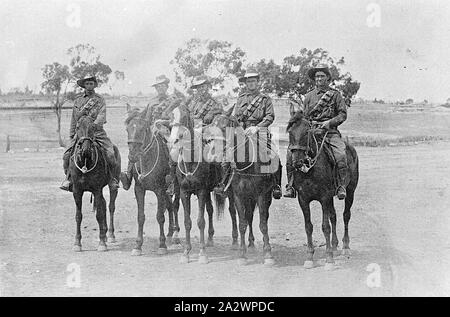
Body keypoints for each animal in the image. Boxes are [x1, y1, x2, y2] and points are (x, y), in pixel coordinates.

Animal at [69, 115, 120, 251]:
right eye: (77, 127)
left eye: (93, 127)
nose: (86, 149)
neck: (85, 163)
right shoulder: (77, 191)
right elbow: (78, 216)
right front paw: (77, 243)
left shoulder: (96, 190)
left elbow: (99, 215)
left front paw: (102, 243)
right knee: (103, 204)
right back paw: (105, 233)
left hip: (113, 186)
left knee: (110, 207)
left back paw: (110, 235)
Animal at [124, 105, 180, 256]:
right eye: (128, 129)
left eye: (143, 129)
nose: (132, 156)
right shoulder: (139, 189)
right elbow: (140, 216)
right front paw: (138, 245)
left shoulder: (160, 190)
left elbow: (160, 216)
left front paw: (162, 245)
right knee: (170, 206)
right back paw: (170, 233)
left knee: (175, 206)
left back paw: (176, 236)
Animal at [211, 111, 282, 264]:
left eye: (224, 127)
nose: (213, 153)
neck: (247, 163)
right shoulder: (238, 196)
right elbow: (242, 223)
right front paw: (242, 254)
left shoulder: (261, 195)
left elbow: (263, 224)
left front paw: (268, 253)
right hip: (237, 196)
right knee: (237, 214)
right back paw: (240, 243)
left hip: (261, 197)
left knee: (257, 216)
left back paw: (253, 243)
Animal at [288, 111, 358, 270]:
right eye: (290, 132)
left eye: (306, 133)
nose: (297, 163)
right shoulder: (303, 199)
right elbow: (308, 226)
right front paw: (309, 258)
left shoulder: (324, 198)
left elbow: (325, 226)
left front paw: (329, 259)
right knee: (334, 216)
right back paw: (335, 245)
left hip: (350, 191)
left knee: (346, 216)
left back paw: (345, 247)